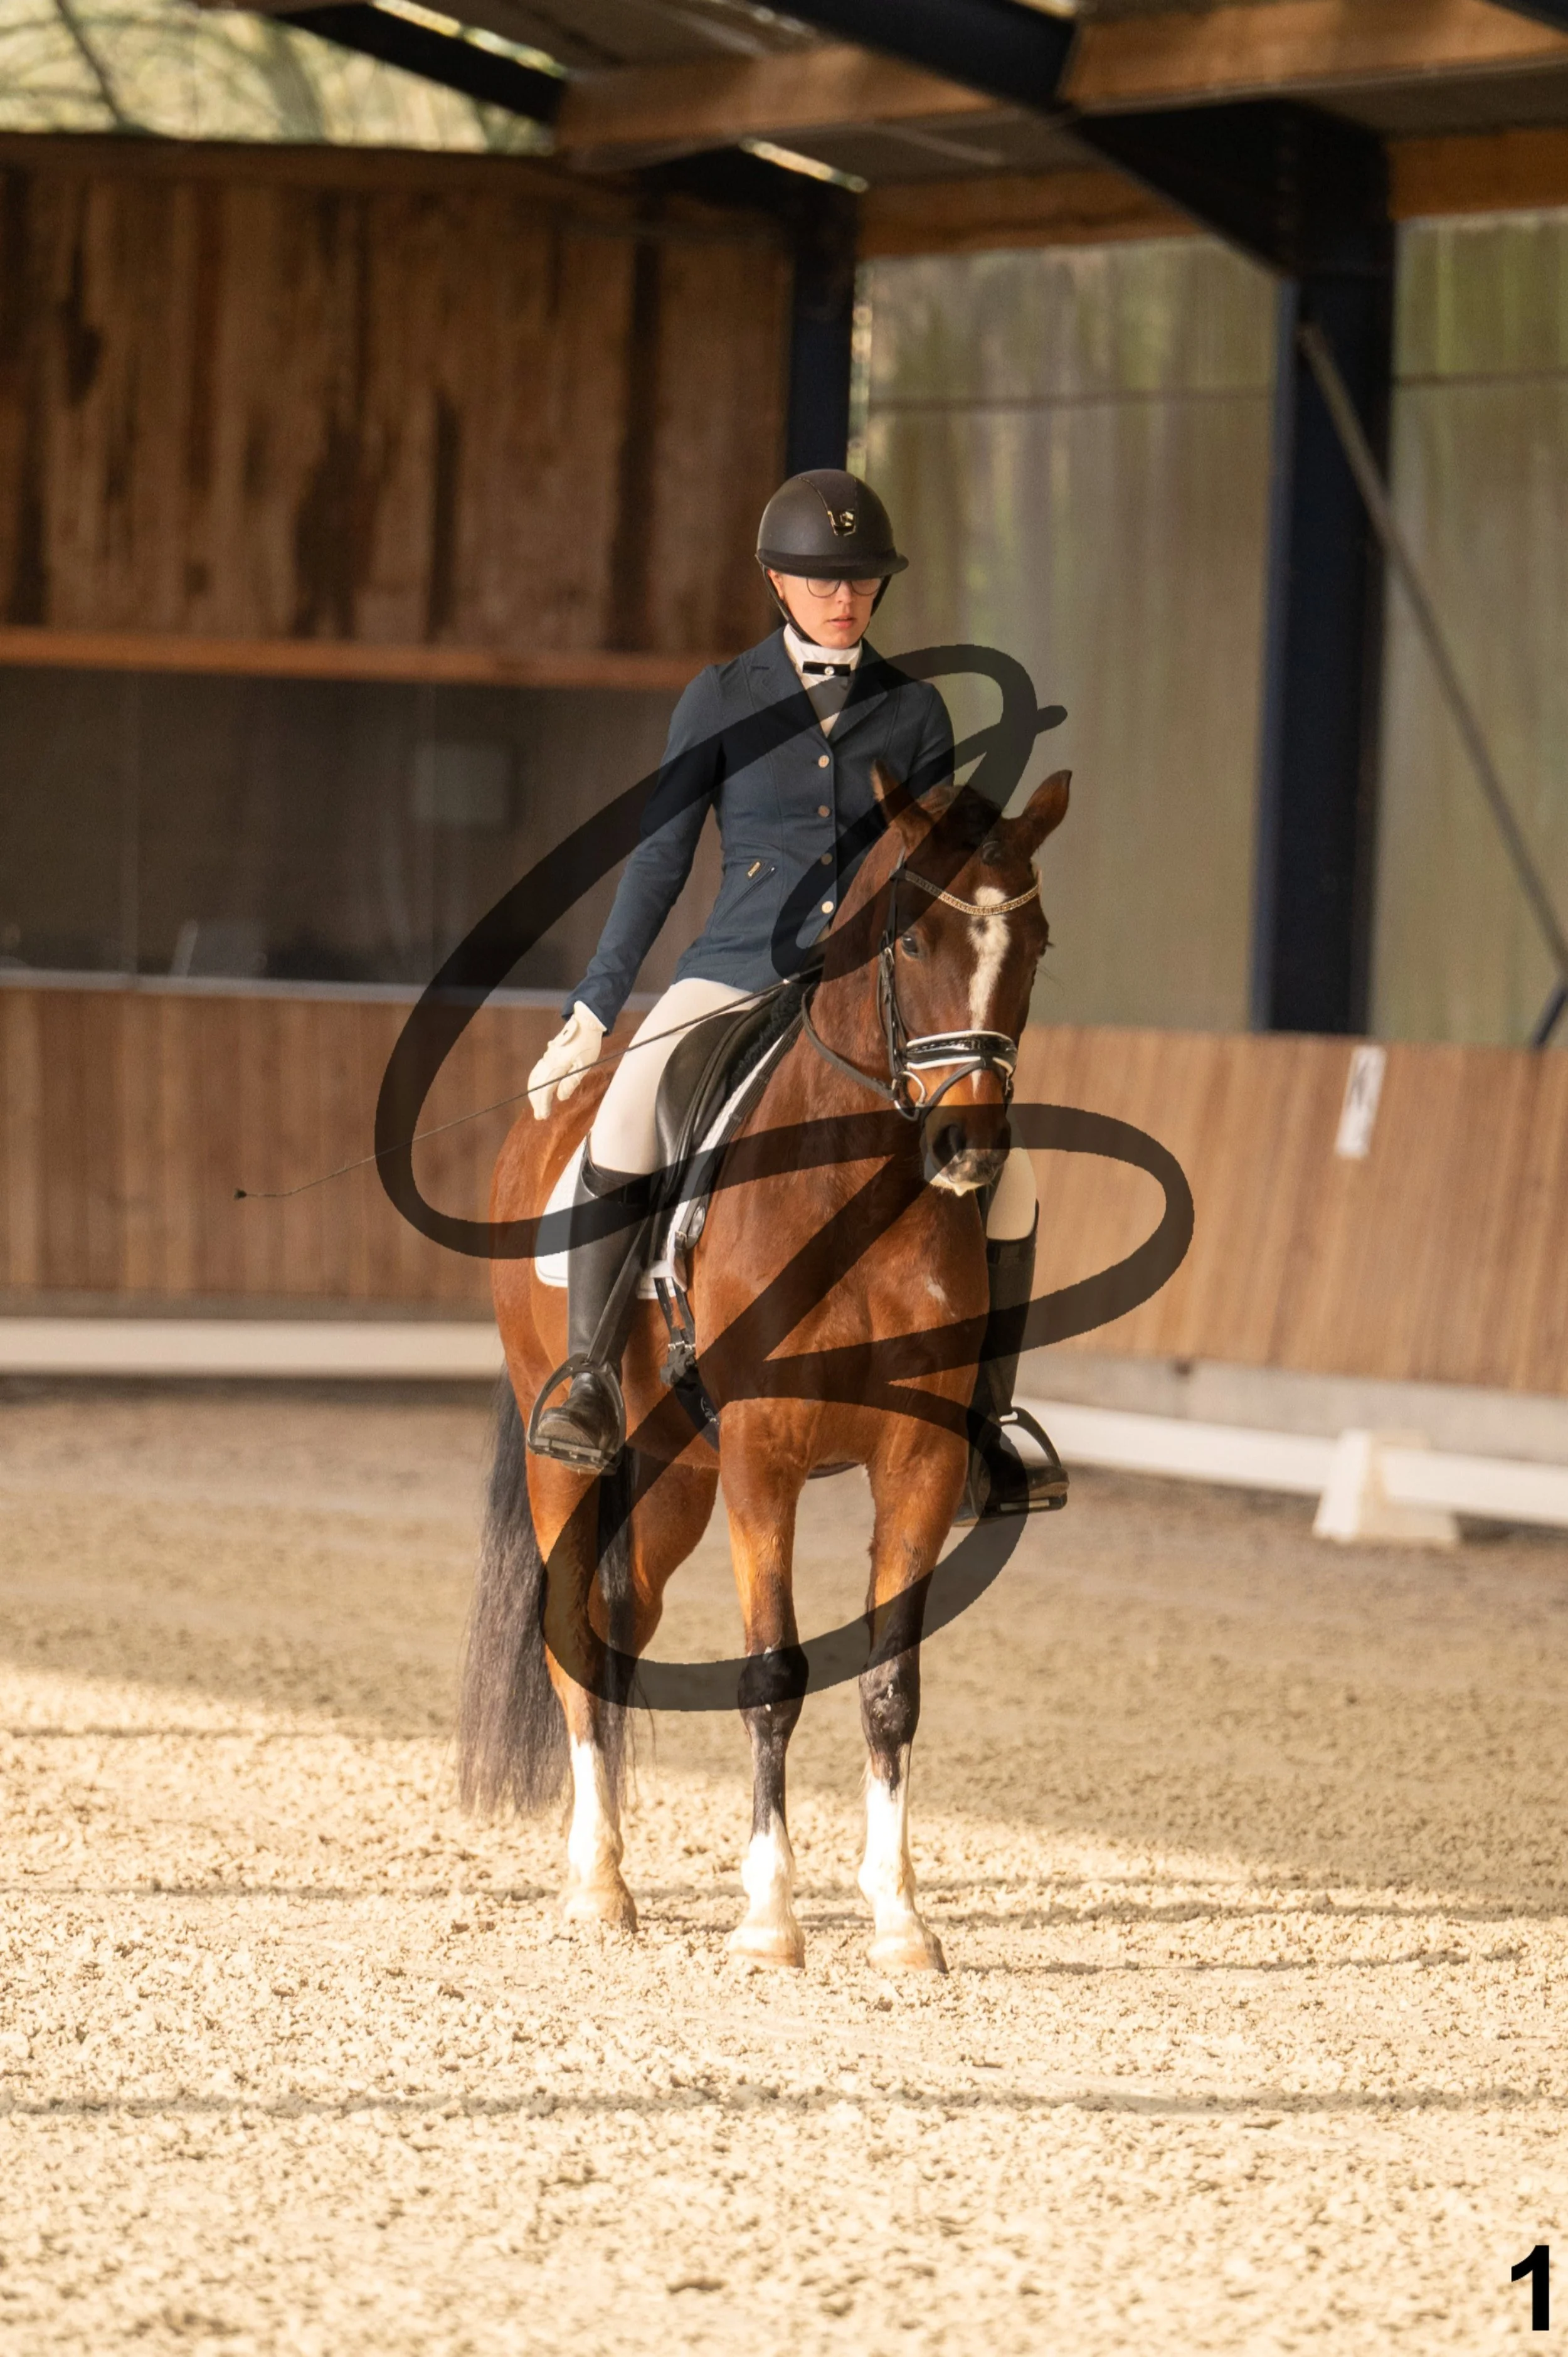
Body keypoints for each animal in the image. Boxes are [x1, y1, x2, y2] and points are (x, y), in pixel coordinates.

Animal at [459, 759, 1070, 1971]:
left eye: (1034, 944)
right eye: (913, 940)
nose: (969, 1149)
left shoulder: (918, 1460)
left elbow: (891, 1686)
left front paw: (899, 1917)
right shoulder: (764, 1454)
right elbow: (773, 1670)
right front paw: (770, 1914)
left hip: (672, 1487)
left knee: (619, 1631)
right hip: (577, 1465)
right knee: (571, 1638)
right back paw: (596, 1882)